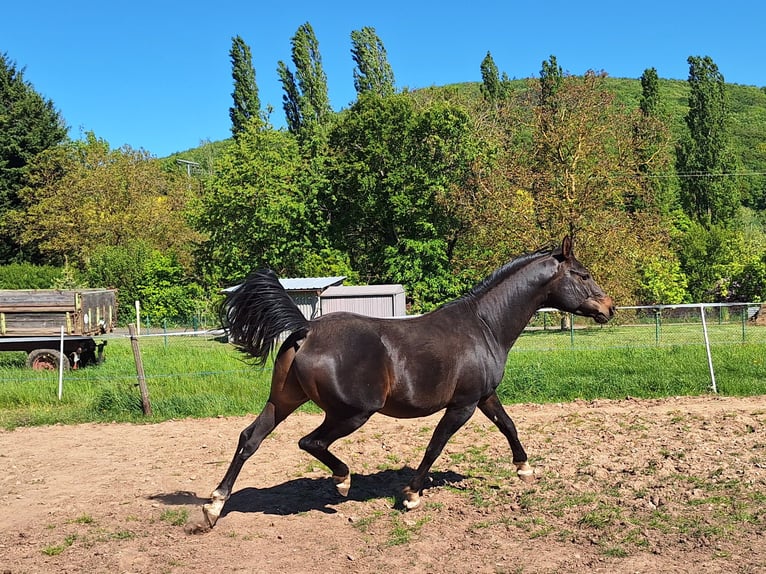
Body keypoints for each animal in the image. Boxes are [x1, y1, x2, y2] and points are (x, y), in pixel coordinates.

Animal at [199, 236, 614, 529]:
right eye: (584, 275)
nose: (608, 308)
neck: (484, 326)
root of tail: (306, 328)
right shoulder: (462, 404)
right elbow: (435, 445)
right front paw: (412, 495)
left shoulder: (484, 396)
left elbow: (509, 425)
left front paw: (524, 468)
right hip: (352, 413)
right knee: (310, 442)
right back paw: (342, 481)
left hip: (283, 401)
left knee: (249, 439)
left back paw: (214, 506)